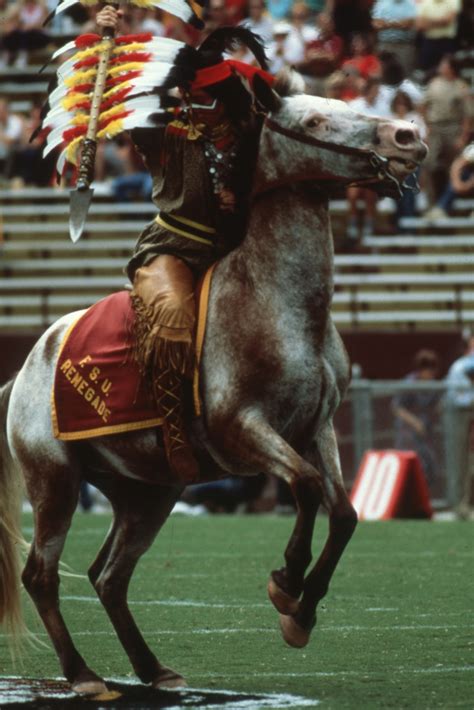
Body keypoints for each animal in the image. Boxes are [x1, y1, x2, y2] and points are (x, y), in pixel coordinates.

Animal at [0, 75, 430, 700]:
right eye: (314, 122)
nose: (407, 136)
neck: (283, 307)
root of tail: (28, 368)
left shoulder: (318, 427)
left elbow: (345, 513)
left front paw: (301, 613)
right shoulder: (241, 427)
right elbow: (304, 488)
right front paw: (286, 584)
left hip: (148, 494)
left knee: (109, 576)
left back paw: (154, 669)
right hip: (54, 480)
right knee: (41, 574)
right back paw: (84, 676)